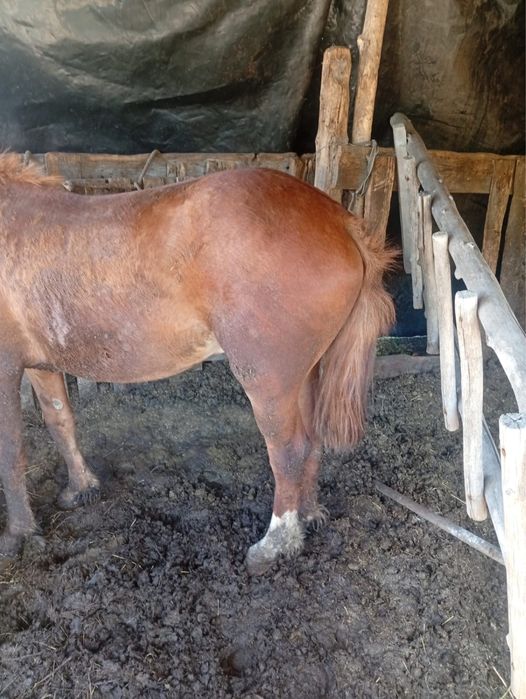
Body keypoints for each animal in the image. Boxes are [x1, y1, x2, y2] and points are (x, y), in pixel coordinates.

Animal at [0, 154, 395, 575]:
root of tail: (340, 220)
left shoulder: (6, 368)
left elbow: (11, 449)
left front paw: (19, 533)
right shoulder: (42, 365)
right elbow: (60, 422)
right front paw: (80, 488)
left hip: (268, 381)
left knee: (288, 450)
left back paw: (273, 545)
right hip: (304, 374)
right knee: (312, 442)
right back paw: (306, 516)